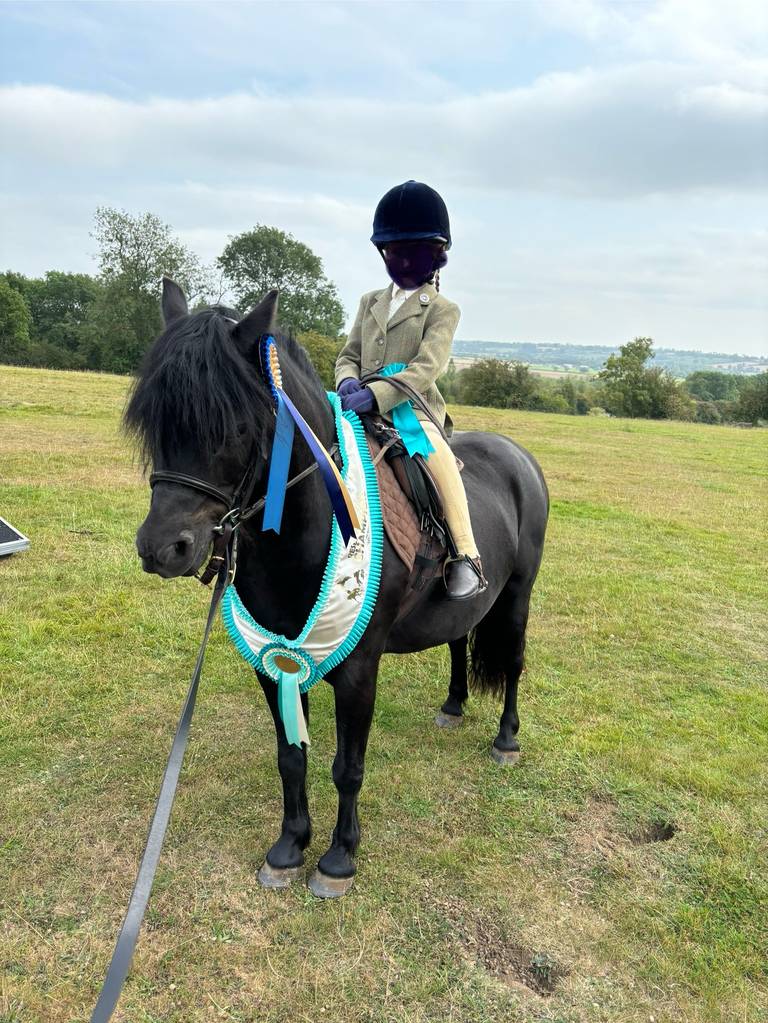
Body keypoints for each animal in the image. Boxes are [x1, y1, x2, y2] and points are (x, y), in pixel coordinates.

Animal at [125, 280, 549, 898]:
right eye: (154, 421)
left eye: (236, 426)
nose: (162, 549)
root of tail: (518, 455)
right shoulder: (275, 659)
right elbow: (291, 758)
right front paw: (288, 848)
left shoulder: (357, 669)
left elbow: (347, 767)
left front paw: (338, 859)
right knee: (457, 638)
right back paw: (452, 706)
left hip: (517, 595)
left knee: (512, 661)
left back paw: (506, 741)